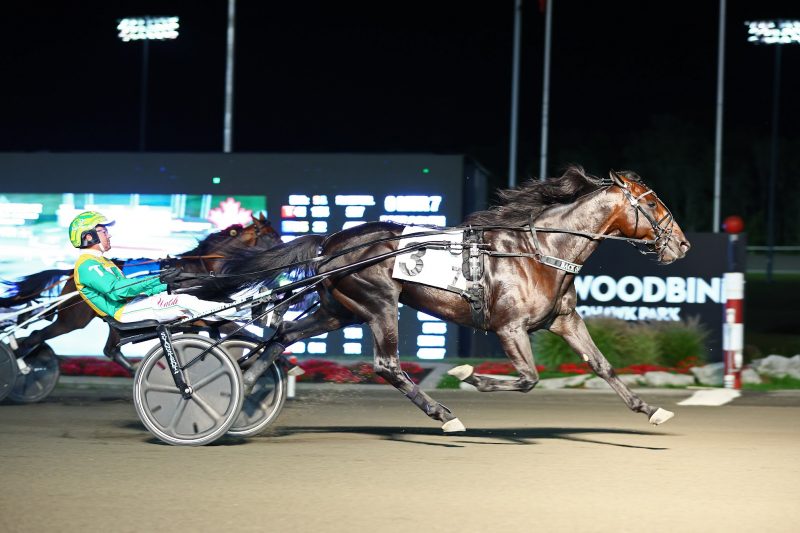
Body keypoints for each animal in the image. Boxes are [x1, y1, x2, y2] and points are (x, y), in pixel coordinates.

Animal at [10, 214, 282, 372]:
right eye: (271, 237)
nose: (285, 250)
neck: (200, 269)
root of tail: (69, 273)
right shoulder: (203, 319)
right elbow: (238, 331)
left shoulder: (204, 323)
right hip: (73, 320)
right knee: (36, 335)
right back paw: (20, 363)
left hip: (114, 324)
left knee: (110, 350)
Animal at [192, 168, 688, 430]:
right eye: (654, 203)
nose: (682, 245)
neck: (541, 250)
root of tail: (331, 241)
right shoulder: (509, 328)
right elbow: (527, 378)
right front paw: (471, 376)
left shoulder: (564, 320)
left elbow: (602, 365)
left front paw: (649, 409)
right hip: (379, 304)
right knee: (387, 365)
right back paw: (442, 413)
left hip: (338, 310)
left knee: (282, 334)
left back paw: (240, 389)